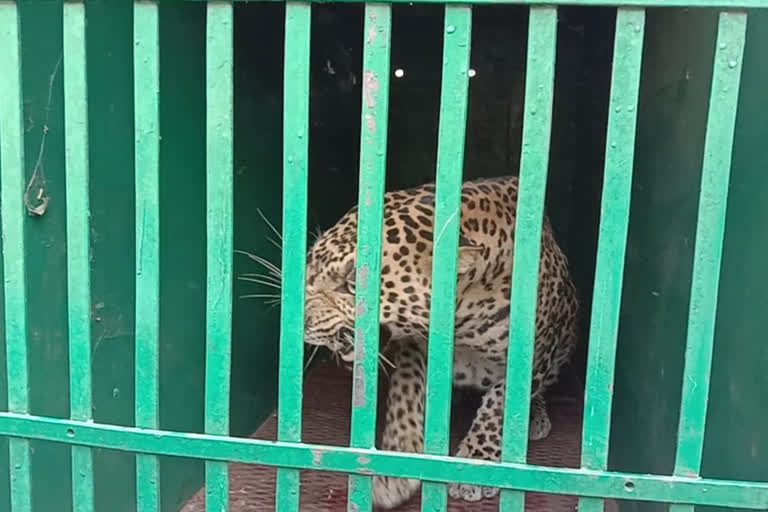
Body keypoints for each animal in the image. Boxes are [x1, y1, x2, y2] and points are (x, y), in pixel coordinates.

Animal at [260, 175, 580, 508]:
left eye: (352, 284)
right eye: (309, 260)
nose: (295, 319)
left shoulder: (534, 349)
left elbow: (500, 403)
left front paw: (477, 459)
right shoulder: (415, 345)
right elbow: (405, 392)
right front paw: (398, 464)